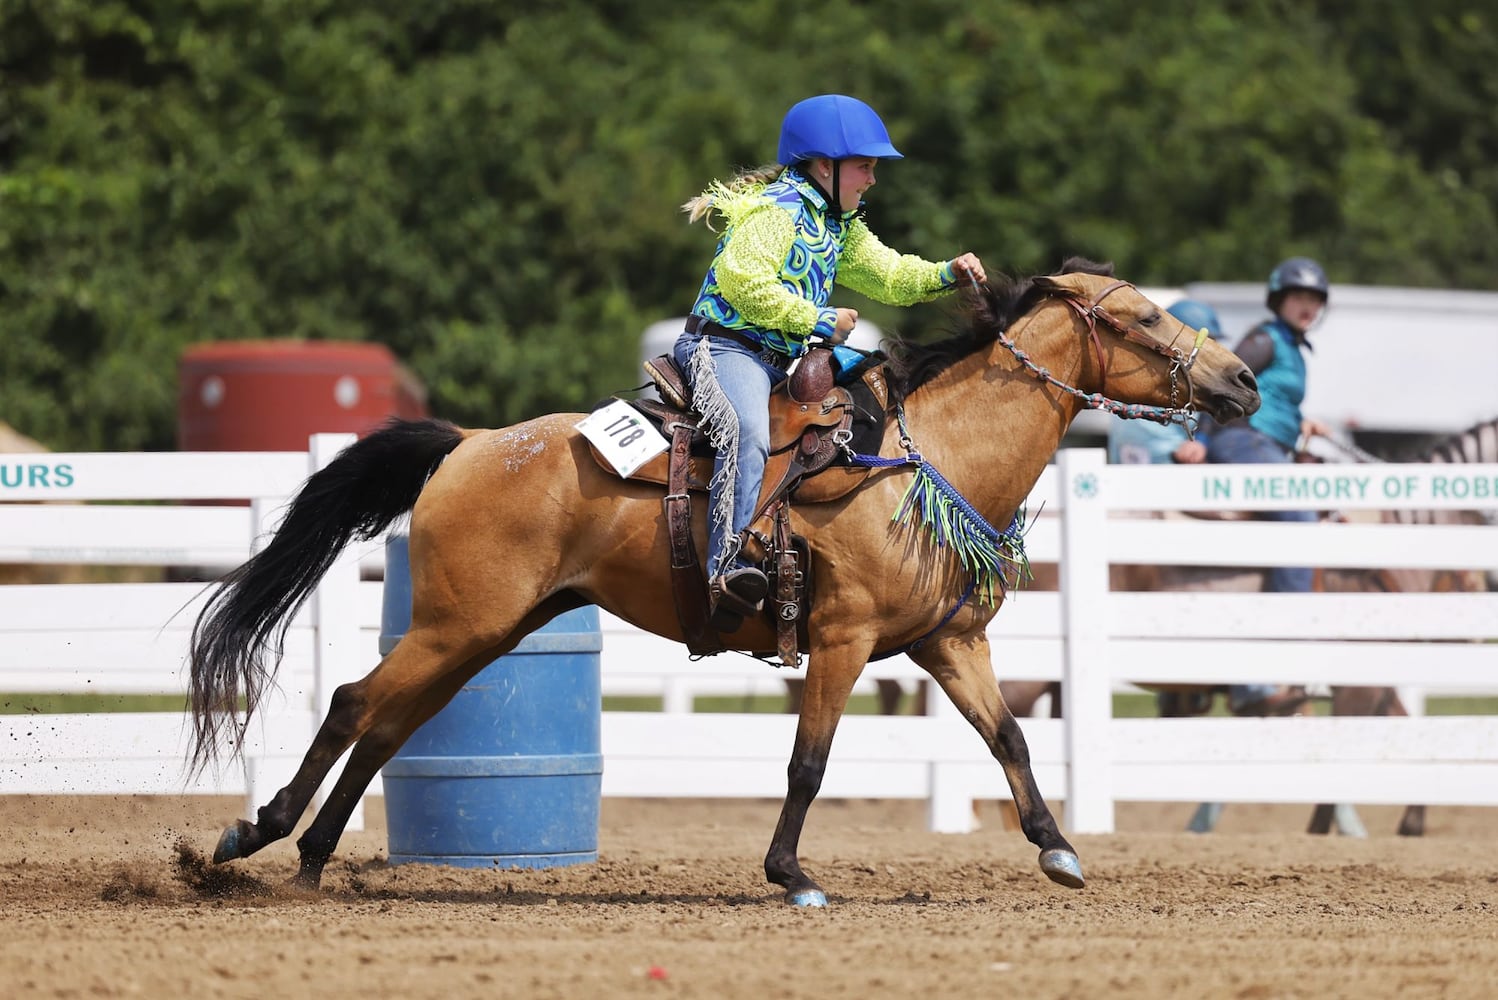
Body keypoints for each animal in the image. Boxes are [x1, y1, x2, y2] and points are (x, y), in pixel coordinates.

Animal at [187, 257, 1264, 904]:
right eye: (1138, 316)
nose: (1243, 381)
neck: (923, 461)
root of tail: (468, 442)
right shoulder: (840, 640)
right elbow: (808, 763)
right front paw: (790, 872)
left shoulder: (948, 641)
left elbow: (1009, 736)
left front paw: (1057, 847)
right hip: (457, 625)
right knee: (351, 701)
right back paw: (252, 838)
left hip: (486, 631)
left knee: (384, 723)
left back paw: (313, 856)